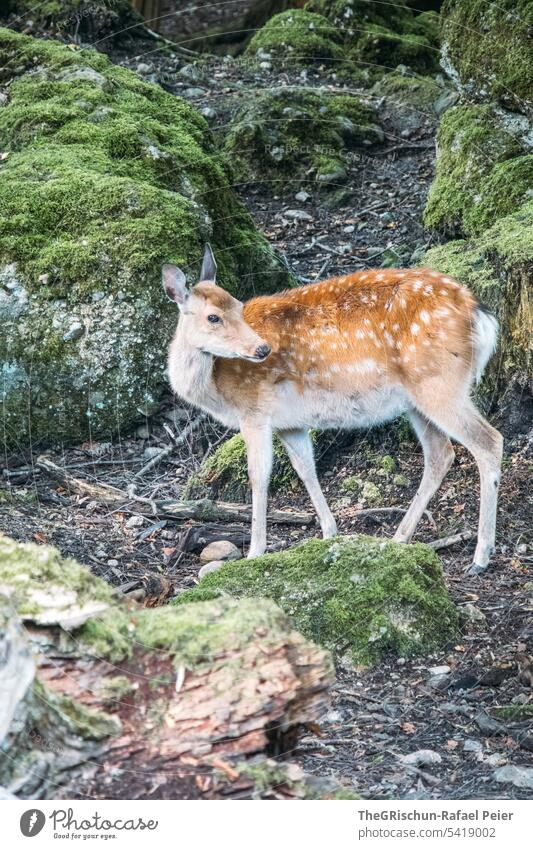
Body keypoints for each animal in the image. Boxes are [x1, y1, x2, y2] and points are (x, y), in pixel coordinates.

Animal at [163, 245, 502, 576]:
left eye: (237, 306)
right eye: (213, 317)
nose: (261, 349)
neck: (216, 387)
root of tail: (480, 314)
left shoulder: (254, 412)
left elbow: (259, 477)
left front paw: (254, 552)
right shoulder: (290, 424)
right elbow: (306, 469)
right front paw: (329, 533)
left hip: (439, 383)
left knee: (489, 441)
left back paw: (480, 557)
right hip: (418, 398)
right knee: (440, 453)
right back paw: (399, 538)